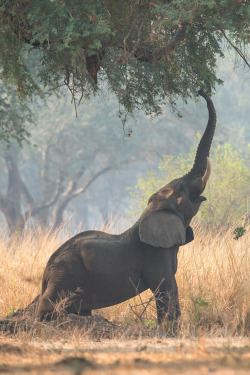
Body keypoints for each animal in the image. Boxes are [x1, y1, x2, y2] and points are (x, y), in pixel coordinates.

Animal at [35, 91, 217, 326]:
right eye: (182, 189)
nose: (201, 91)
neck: (151, 211)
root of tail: (46, 272)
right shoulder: (155, 255)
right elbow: (167, 288)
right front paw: (169, 329)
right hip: (65, 274)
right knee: (48, 306)